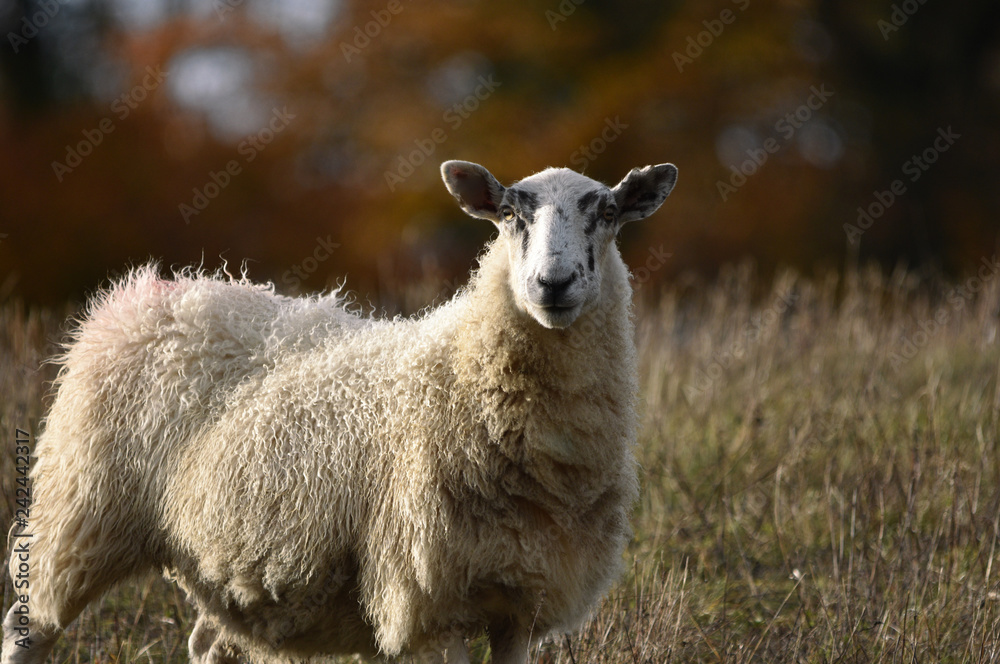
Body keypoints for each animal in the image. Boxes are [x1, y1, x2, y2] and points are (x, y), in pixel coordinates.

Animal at [2, 159, 677, 664]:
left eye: (608, 213)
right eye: (510, 215)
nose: (552, 284)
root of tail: (143, 294)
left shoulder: (522, 600)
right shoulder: (430, 602)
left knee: (205, 645)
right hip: (82, 510)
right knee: (24, 627)